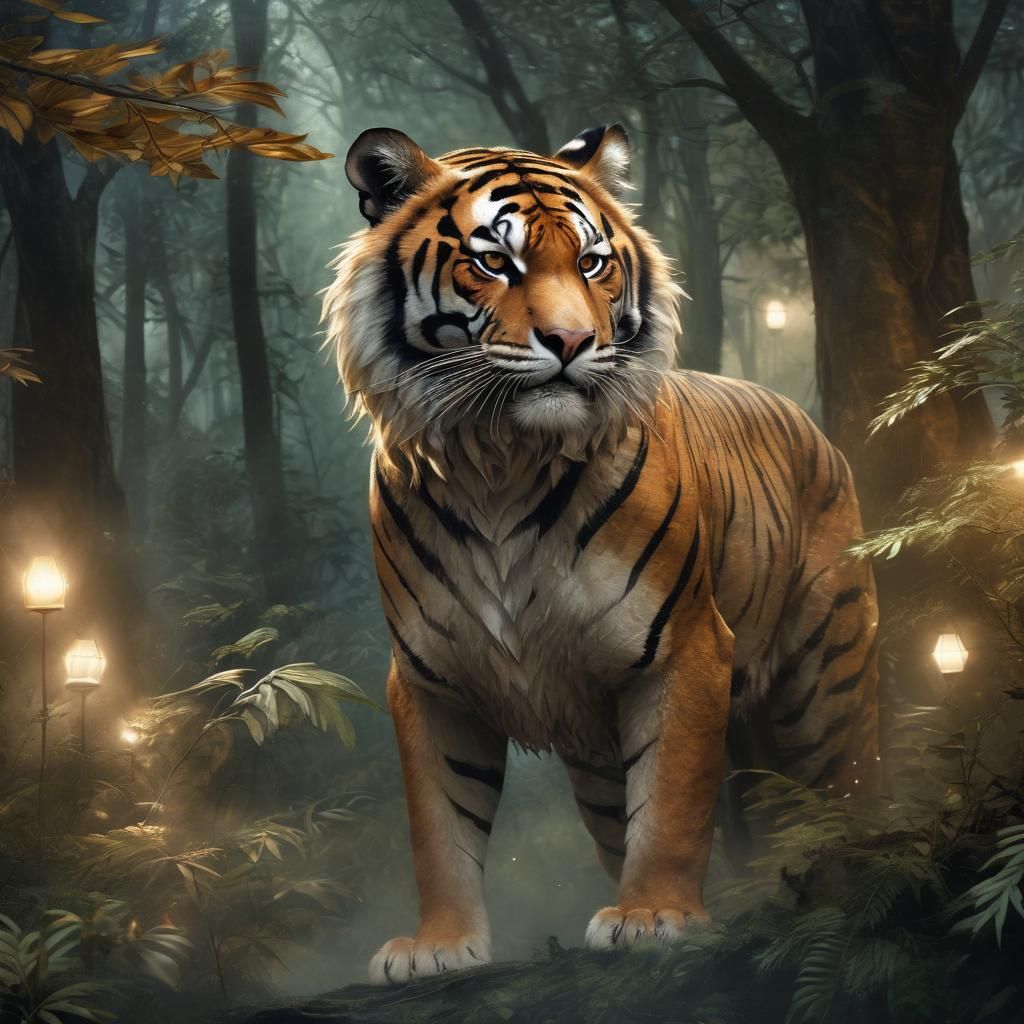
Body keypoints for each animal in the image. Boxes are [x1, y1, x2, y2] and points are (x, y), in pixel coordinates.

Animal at [322, 124, 880, 985]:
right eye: (494, 261)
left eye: (591, 263)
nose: (572, 341)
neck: (499, 464)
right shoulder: (428, 677)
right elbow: (439, 825)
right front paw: (438, 945)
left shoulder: (685, 649)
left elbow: (673, 803)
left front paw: (654, 916)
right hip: (596, 752)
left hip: (825, 681)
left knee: (845, 788)